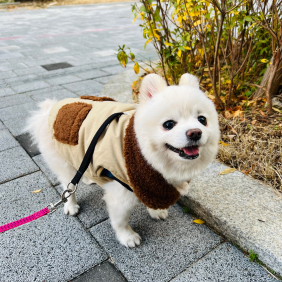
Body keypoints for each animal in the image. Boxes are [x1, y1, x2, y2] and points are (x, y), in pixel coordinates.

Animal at [25, 72, 220, 247]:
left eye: (202, 120)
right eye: (169, 124)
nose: (195, 132)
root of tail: (49, 111)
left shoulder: (148, 183)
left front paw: (155, 211)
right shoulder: (121, 191)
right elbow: (120, 220)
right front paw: (127, 237)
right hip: (62, 160)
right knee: (68, 185)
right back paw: (71, 205)